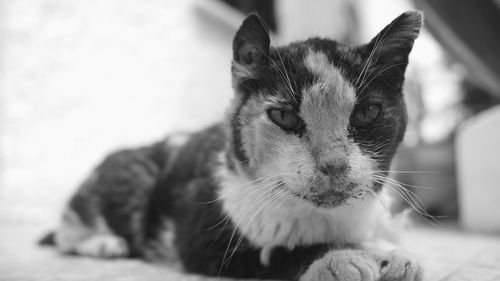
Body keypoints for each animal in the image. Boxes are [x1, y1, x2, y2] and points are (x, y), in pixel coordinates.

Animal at [41, 9, 426, 278]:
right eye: (283, 116)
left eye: (367, 112)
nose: (333, 164)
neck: (324, 220)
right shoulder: (205, 241)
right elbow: (282, 253)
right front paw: (345, 258)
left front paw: (393, 255)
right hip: (132, 175)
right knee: (66, 230)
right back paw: (104, 243)